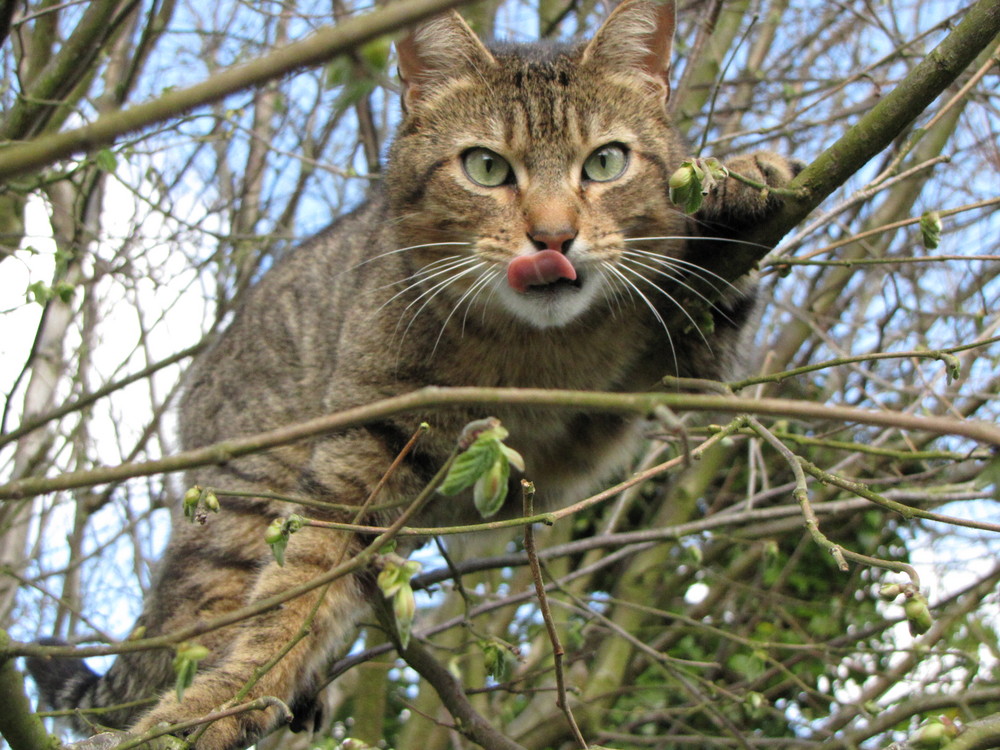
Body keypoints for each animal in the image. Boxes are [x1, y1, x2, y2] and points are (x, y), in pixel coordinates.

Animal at [27, 1, 800, 750]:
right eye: (486, 168)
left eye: (605, 162)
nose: (552, 237)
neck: (536, 347)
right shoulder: (362, 454)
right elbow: (294, 594)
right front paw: (218, 704)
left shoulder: (682, 372)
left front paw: (737, 182)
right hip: (243, 502)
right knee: (197, 619)